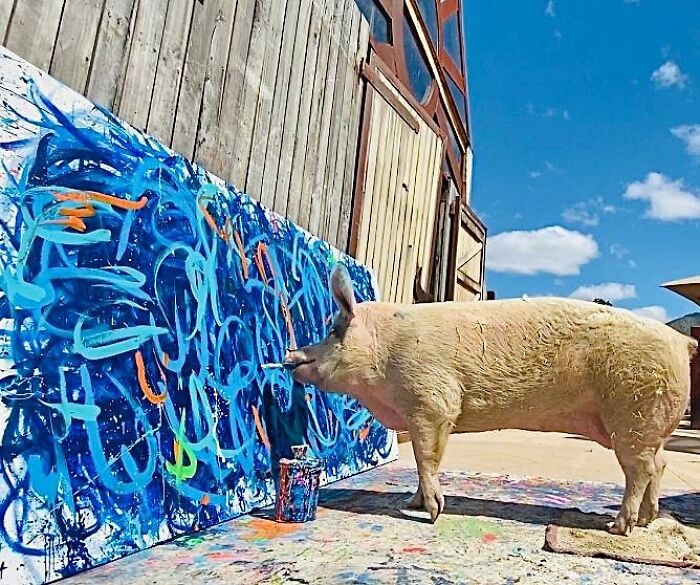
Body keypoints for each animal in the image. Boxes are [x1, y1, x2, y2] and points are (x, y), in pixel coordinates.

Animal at [284, 265, 698, 535]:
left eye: (333, 331)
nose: (291, 355)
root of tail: (681, 341)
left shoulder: (433, 402)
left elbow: (425, 458)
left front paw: (432, 514)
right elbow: (425, 463)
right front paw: (411, 504)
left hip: (634, 414)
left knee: (640, 470)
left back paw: (618, 527)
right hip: (643, 425)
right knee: (658, 465)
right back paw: (646, 521)